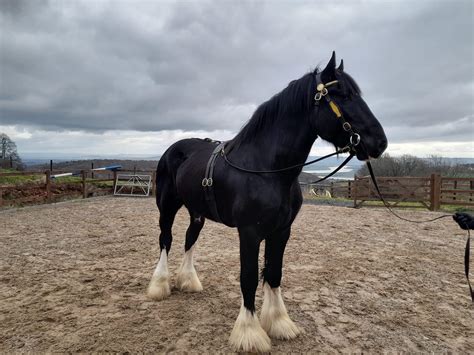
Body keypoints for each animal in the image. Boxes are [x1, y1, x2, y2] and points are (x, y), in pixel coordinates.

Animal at [147, 52, 386, 354]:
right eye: (342, 94)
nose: (379, 142)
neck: (267, 169)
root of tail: (173, 149)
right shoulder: (249, 233)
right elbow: (249, 277)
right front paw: (249, 333)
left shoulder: (281, 231)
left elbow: (273, 273)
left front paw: (279, 322)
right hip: (167, 207)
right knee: (165, 240)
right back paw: (159, 285)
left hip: (197, 213)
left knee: (189, 239)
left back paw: (188, 281)